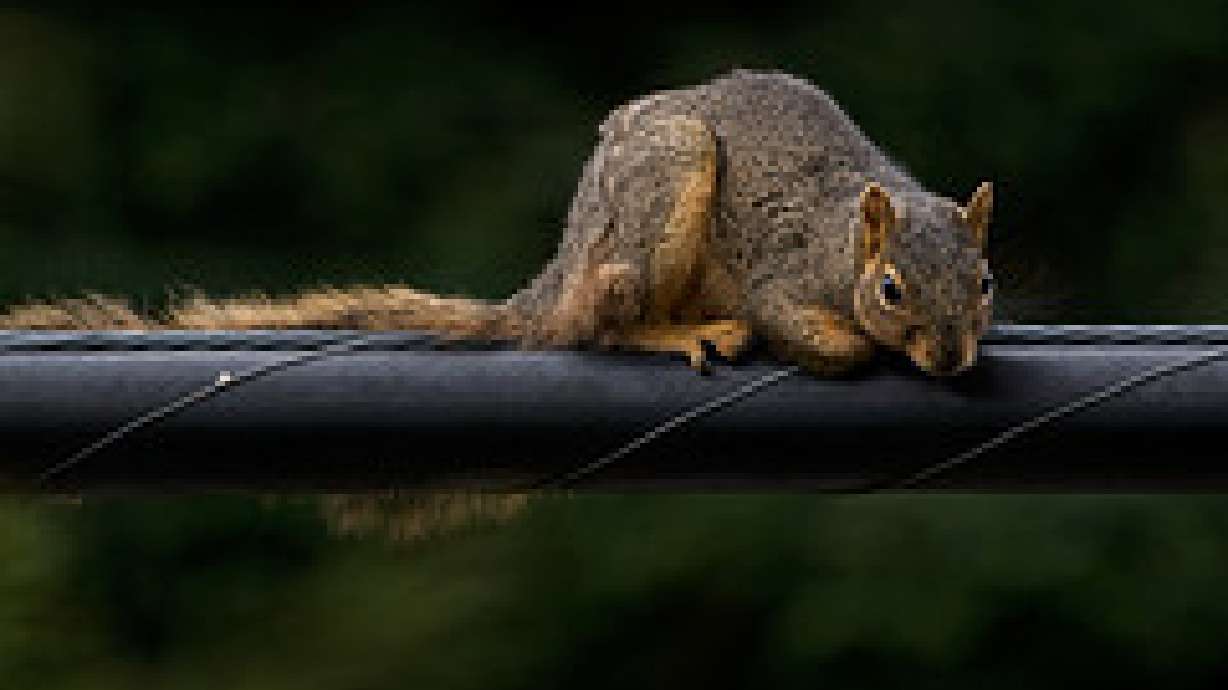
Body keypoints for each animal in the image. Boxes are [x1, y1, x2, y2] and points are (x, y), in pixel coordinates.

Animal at [1, 70, 993, 377]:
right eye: (891, 288)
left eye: (985, 283)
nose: (950, 356)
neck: (851, 234)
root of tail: (565, 263)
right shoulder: (787, 272)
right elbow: (813, 332)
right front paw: (854, 345)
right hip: (660, 196)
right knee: (598, 323)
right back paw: (678, 333)